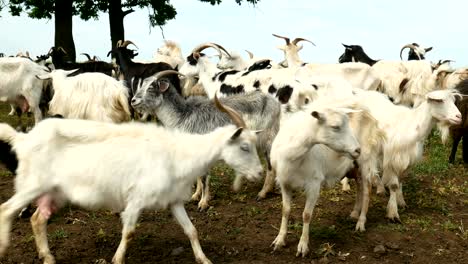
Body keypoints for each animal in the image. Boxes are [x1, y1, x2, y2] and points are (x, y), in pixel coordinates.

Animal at [0, 96, 264, 264]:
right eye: (244, 146)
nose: (260, 173)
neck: (177, 153)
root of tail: (23, 139)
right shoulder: (136, 199)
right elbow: (129, 232)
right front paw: (117, 259)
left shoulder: (174, 201)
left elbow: (192, 230)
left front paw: (204, 259)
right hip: (32, 185)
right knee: (6, 210)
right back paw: (4, 250)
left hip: (54, 192)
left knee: (37, 219)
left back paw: (47, 257)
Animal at [130, 70, 280, 210]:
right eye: (142, 84)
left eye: (151, 86)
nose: (133, 101)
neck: (183, 116)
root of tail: (274, 103)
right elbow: (197, 176)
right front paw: (195, 196)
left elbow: (204, 178)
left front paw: (203, 203)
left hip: (267, 139)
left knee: (270, 166)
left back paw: (263, 193)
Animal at [268, 100, 360, 256]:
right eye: (335, 127)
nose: (357, 150)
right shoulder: (285, 183)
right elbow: (285, 210)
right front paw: (279, 240)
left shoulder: (314, 184)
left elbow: (306, 215)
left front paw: (303, 246)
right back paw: (356, 213)